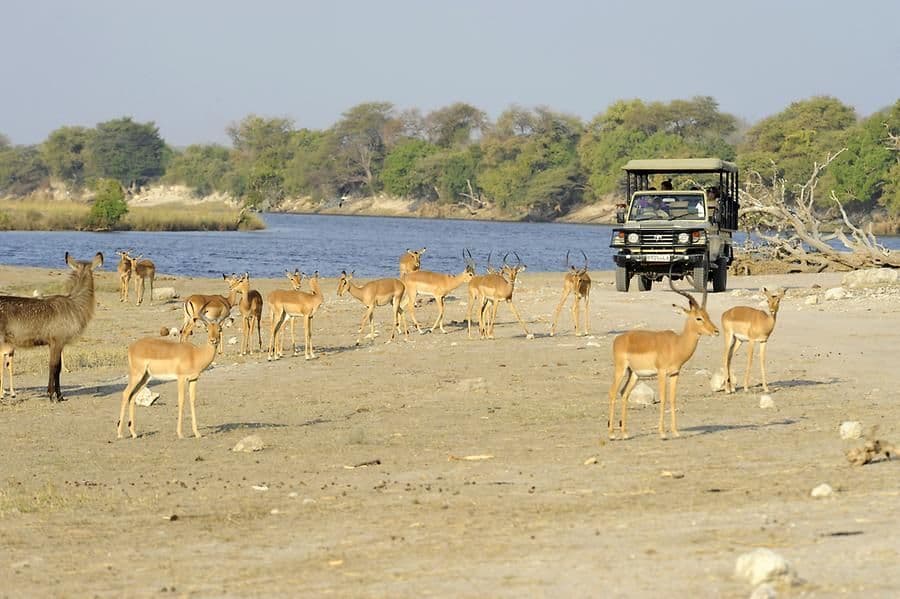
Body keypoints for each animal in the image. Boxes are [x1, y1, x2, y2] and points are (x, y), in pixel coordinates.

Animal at [0, 252, 103, 401]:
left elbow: (58, 367)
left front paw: (58, 395)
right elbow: (54, 367)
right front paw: (53, 395)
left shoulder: (56, 343)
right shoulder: (57, 341)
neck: (75, 304)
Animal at [118, 309, 221, 439]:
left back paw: (134, 433)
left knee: (132, 396)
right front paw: (180, 434)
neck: (195, 354)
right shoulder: (181, 378)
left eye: (219, 329)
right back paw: (120, 434)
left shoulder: (193, 379)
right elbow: (181, 401)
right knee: (126, 394)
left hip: (145, 378)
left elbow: (192, 400)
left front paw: (197, 433)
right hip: (137, 375)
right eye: (207, 329)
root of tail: (131, 347)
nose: (213, 340)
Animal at [608, 276, 719, 440]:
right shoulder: (661, 373)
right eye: (698, 318)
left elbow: (672, 399)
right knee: (613, 392)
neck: (676, 344)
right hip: (620, 370)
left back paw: (625, 433)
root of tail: (619, 339)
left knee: (624, 394)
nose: (716, 331)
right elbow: (663, 398)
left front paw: (675, 431)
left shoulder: (674, 374)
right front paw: (662, 433)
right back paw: (611, 434)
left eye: (707, 315)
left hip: (634, 374)